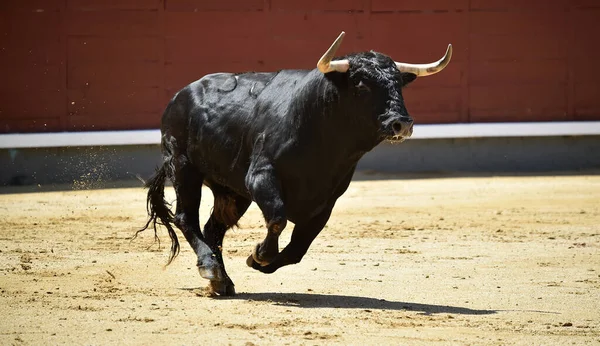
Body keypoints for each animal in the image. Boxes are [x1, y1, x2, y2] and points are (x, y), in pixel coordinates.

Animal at [141, 32, 450, 294]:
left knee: (212, 228)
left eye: (398, 83)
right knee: (186, 217)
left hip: (232, 191)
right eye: (361, 83)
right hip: (184, 167)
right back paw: (210, 269)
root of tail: (180, 95)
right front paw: (260, 254)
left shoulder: (327, 201)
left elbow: (298, 249)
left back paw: (221, 282)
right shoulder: (261, 176)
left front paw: (257, 261)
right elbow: (278, 218)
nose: (402, 123)